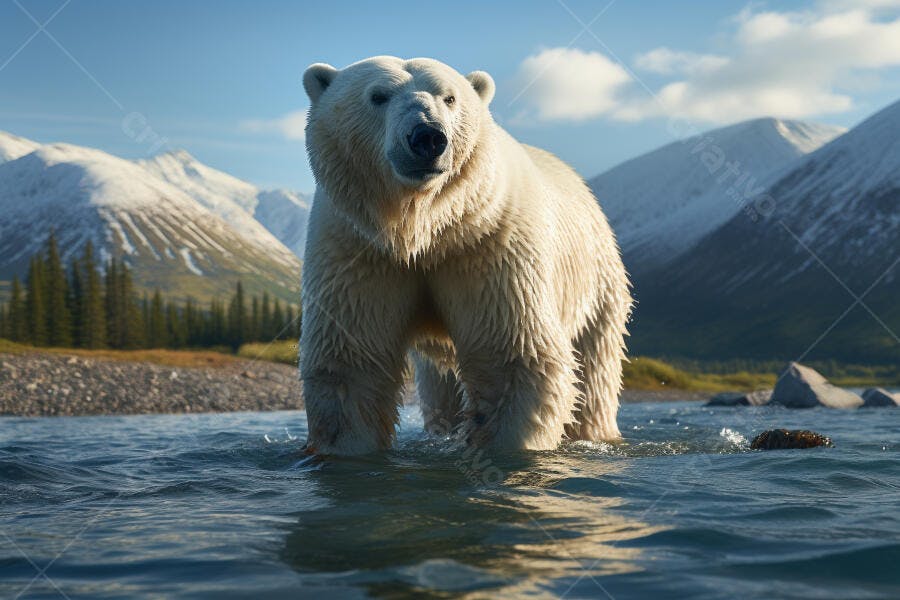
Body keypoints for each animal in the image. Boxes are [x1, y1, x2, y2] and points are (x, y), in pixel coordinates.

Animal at [300, 56, 631, 455]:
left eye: (449, 97)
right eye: (378, 96)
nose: (427, 137)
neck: (423, 228)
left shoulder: (487, 246)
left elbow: (510, 353)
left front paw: (504, 448)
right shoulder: (359, 251)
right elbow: (353, 361)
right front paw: (346, 451)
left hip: (596, 283)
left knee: (594, 370)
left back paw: (593, 432)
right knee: (440, 385)